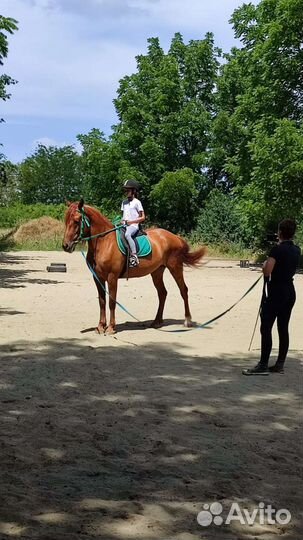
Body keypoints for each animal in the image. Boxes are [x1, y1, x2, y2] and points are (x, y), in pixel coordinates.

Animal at [63, 198, 208, 334]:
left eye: (77, 220)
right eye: (66, 220)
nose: (66, 246)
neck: (104, 242)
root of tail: (175, 237)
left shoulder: (112, 277)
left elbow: (111, 302)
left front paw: (110, 328)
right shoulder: (97, 278)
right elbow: (102, 302)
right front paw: (100, 327)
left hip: (175, 267)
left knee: (183, 290)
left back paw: (187, 320)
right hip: (157, 272)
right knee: (162, 293)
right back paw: (157, 322)